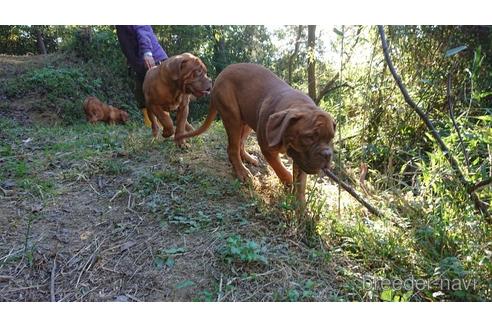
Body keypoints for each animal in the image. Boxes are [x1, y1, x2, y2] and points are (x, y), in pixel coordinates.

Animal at [175, 63, 336, 202]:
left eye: (331, 139)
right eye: (309, 137)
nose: (327, 154)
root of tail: (220, 76)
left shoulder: (300, 158)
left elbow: (300, 185)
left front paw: (301, 210)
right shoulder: (268, 149)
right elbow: (281, 170)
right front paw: (288, 181)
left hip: (247, 120)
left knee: (240, 144)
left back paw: (248, 158)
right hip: (233, 117)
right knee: (232, 148)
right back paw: (242, 171)